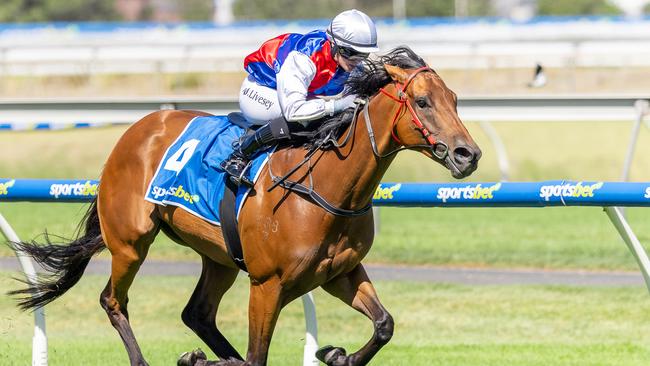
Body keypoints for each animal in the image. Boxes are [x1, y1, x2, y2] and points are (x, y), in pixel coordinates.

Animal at [8, 47, 476, 364]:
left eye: (455, 99)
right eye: (422, 102)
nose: (468, 154)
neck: (324, 187)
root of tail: (137, 129)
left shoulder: (339, 273)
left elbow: (384, 325)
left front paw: (336, 354)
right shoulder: (266, 285)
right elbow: (257, 357)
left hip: (220, 258)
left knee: (197, 313)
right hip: (130, 242)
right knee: (113, 301)